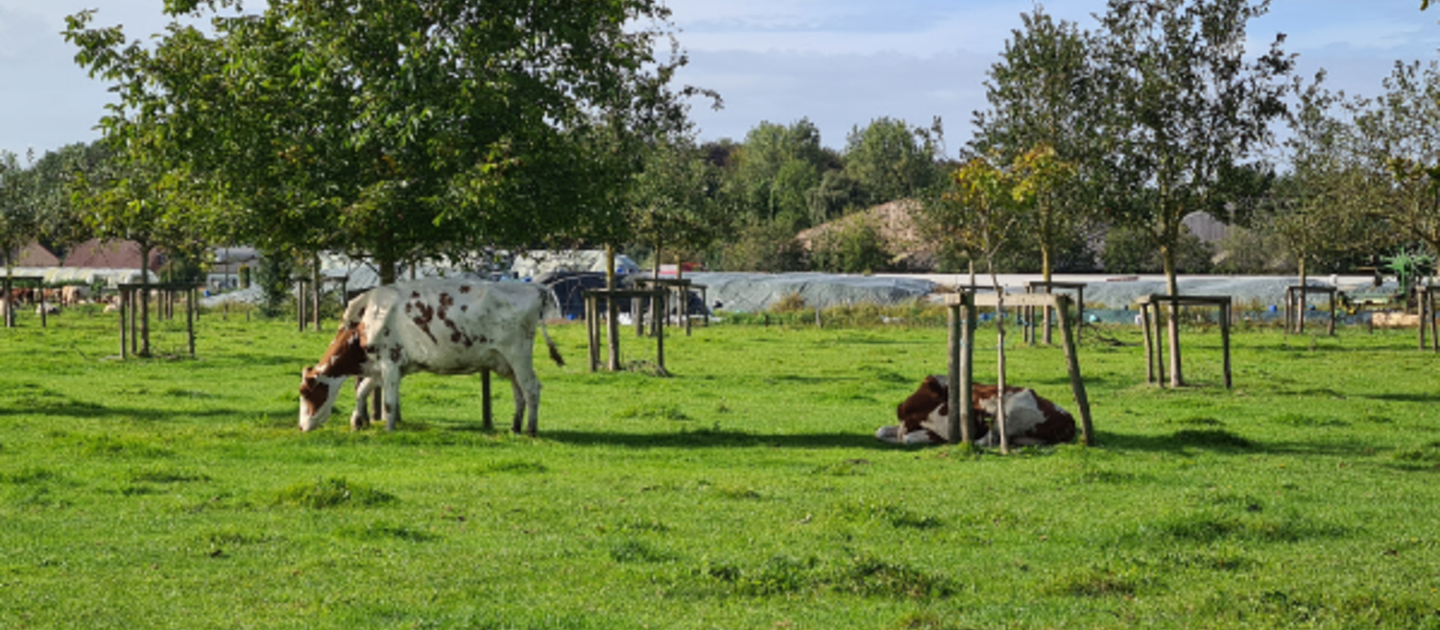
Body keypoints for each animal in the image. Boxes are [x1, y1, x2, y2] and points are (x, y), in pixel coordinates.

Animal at [299, 278, 565, 435]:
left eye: (305, 393)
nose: (301, 426)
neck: (365, 320)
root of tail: (534, 287)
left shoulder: (390, 362)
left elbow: (388, 401)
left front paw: (389, 429)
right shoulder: (378, 366)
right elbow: (362, 390)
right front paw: (357, 421)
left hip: (519, 354)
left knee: (531, 388)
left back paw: (531, 430)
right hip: (506, 362)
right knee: (519, 391)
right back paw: (515, 427)